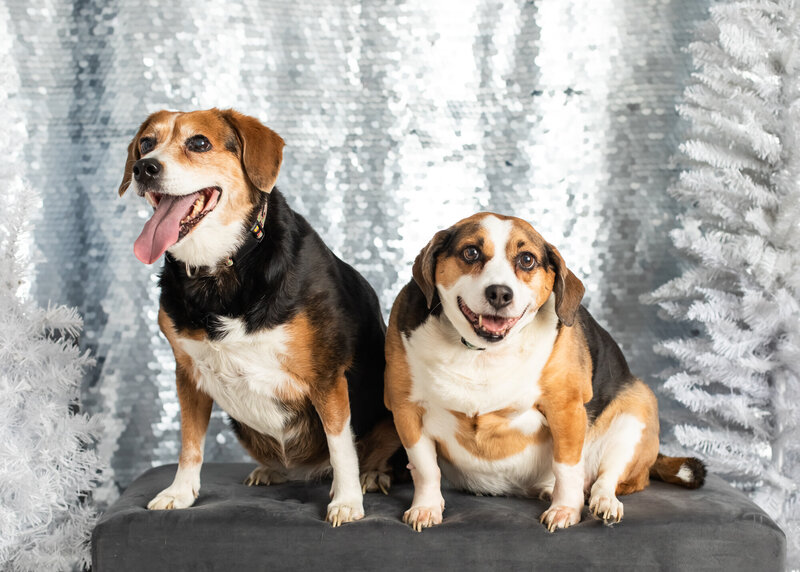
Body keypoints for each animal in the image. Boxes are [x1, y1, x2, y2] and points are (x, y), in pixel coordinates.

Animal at [384, 213, 704, 532]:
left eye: (527, 260)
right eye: (471, 252)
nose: (499, 293)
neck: (482, 353)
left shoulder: (566, 409)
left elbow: (566, 467)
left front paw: (565, 509)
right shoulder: (405, 409)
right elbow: (425, 468)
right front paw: (425, 507)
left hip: (636, 412)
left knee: (607, 478)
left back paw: (603, 502)